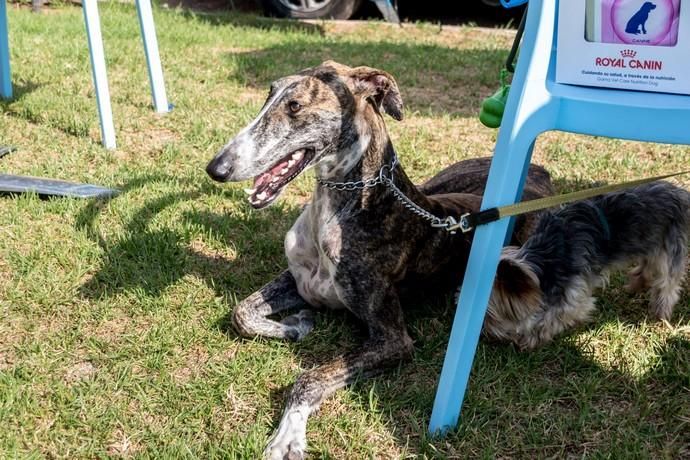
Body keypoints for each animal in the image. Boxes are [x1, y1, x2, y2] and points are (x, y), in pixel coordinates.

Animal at [204, 62, 552, 460]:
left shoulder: (393, 340)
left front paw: (288, 434)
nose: (216, 168)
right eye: (269, 94)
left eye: (294, 106)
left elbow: (310, 377)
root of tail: (541, 173)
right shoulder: (301, 282)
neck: (340, 206)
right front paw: (293, 327)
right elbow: (241, 313)